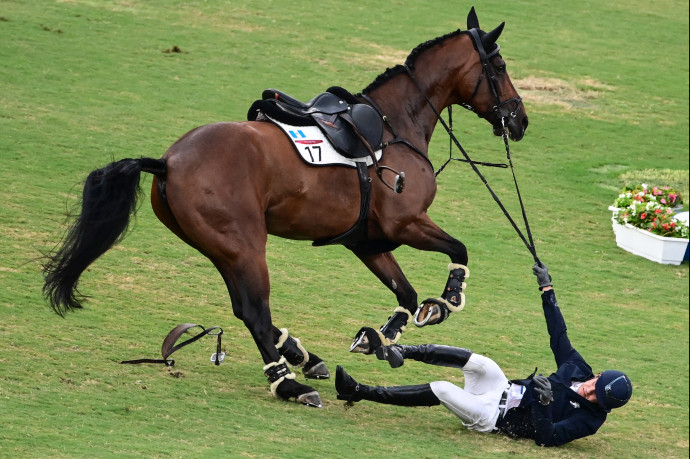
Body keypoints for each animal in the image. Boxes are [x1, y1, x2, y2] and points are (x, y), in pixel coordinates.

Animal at [43, 8, 528, 410]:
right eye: (501, 68)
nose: (519, 120)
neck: (395, 126)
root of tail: (168, 161)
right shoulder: (404, 223)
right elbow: (458, 250)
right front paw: (446, 301)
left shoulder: (366, 241)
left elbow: (404, 293)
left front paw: (385, 337)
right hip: (244, 247)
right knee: (255, 313)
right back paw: (290, 383)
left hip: (223, 249)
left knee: (245, 308)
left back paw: (299, 354)